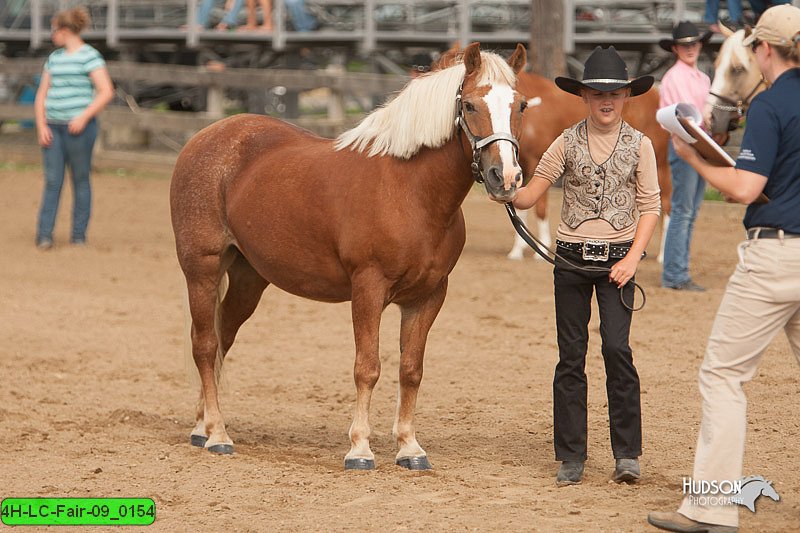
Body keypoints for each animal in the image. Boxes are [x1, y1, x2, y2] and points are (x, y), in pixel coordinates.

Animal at [170, 43, 532, 472]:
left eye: (521, 105)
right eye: (472, 105)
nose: (505, 178)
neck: (410, 190)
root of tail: (206, 136)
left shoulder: (428, 296)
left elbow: (411, 370)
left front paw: (410, 447)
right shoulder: (368, 289)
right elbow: (367, 367)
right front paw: (360, 449)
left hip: (248, 278)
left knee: (222, 338)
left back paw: (202, 426)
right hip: (202, 268)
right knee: (205, 345)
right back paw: (218, 435)